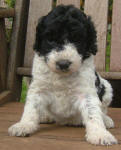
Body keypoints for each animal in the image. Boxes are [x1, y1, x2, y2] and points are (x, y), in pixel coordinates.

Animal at [8, 4, 117, 145]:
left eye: (77, 39)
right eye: (50, 39)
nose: (63, 63)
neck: (62, 76)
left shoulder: (86, 92)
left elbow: (93, 112)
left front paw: (100, 134)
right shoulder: (38, 88)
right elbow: (31, 108)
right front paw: (24, 125)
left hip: (107, 87)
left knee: (102, 109)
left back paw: (106, 120)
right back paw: (45, 116)